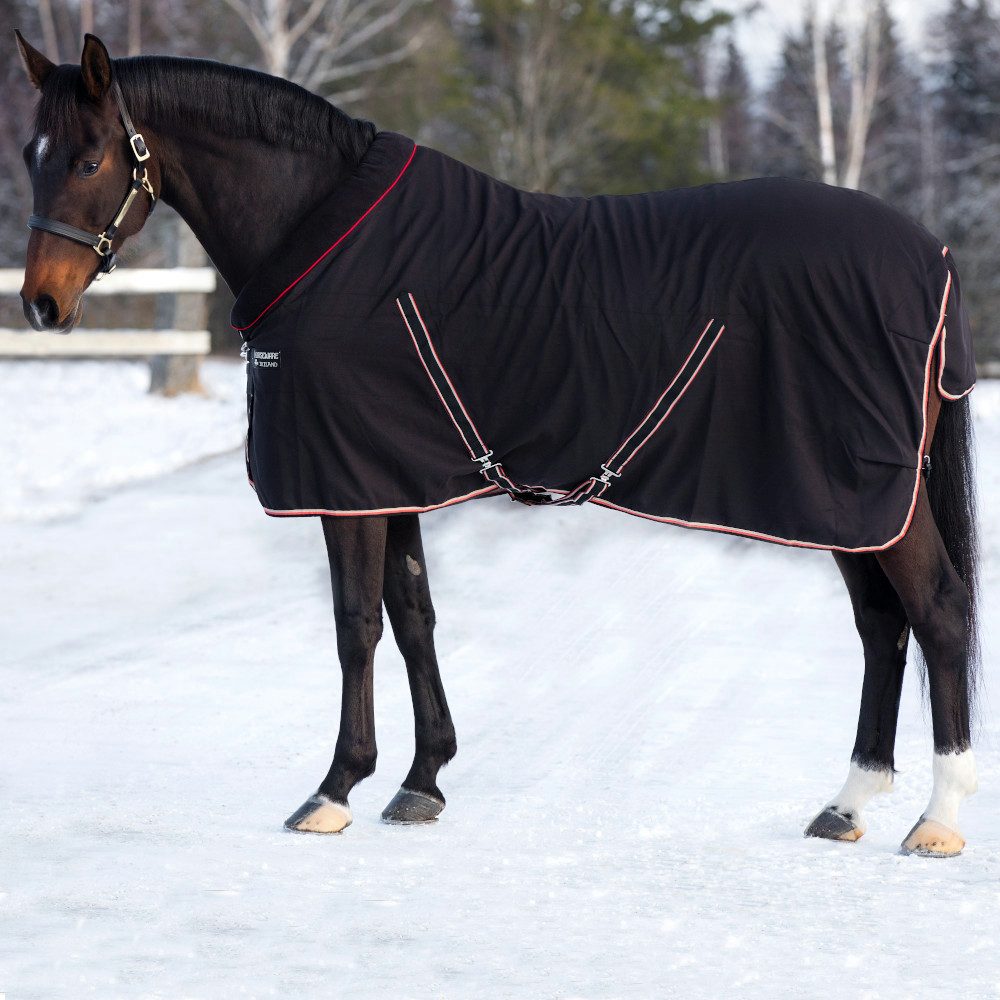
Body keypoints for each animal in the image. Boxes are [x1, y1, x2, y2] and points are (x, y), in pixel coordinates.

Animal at [14, 32, 981, 855]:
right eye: (30, 155)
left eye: (90, 158)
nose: (41, 304)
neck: (330, 241)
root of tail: (930, 256)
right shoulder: (389, 474)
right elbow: (413, 616)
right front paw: (422, 781)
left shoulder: (345, 481)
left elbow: (355, 625)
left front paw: (333, 790)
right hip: (853, 504)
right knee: (882, 625)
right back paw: (847, 804)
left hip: (867, 496)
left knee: (938, 611)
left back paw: (938, 819)